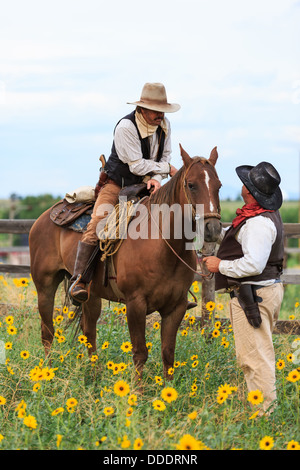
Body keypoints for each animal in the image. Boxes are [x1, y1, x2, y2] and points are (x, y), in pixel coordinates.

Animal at [29, 145, 221, 380]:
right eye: (191, 185)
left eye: (219, 186)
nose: (213, 229)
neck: (163, 245)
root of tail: (46, 215)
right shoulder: (135, 304)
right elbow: (140, 352)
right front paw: (137, 391)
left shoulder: (176, 307)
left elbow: (168, 353)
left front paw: (168, 389)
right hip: (45, 286)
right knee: (47, 331)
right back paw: (47, 374)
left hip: (91, 294)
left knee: (88, 330)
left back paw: (95, 374)